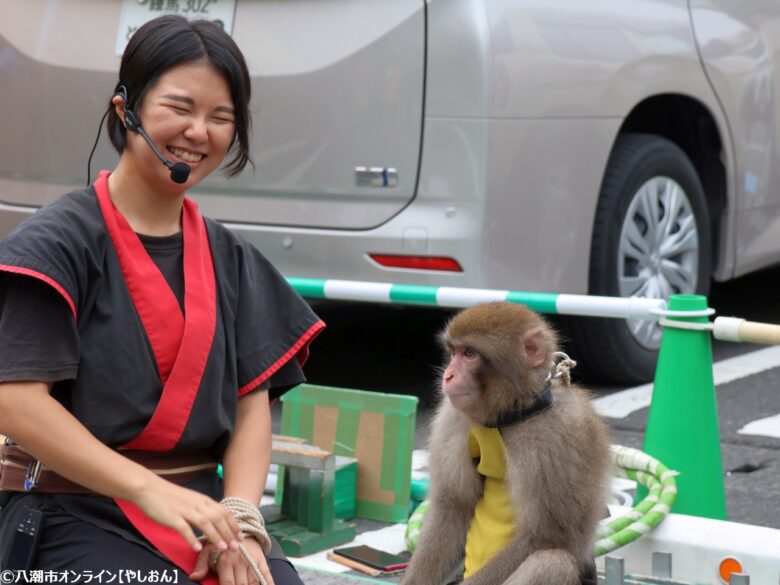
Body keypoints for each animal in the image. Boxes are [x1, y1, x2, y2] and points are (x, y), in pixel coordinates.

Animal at [402, 302, 616, 584]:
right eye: (454, 352)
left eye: (469, 353)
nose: (448, 375)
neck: (510, 415)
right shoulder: (452, 419)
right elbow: (454, 506)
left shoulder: (561, 438)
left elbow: (546, 537)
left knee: (552, 561)